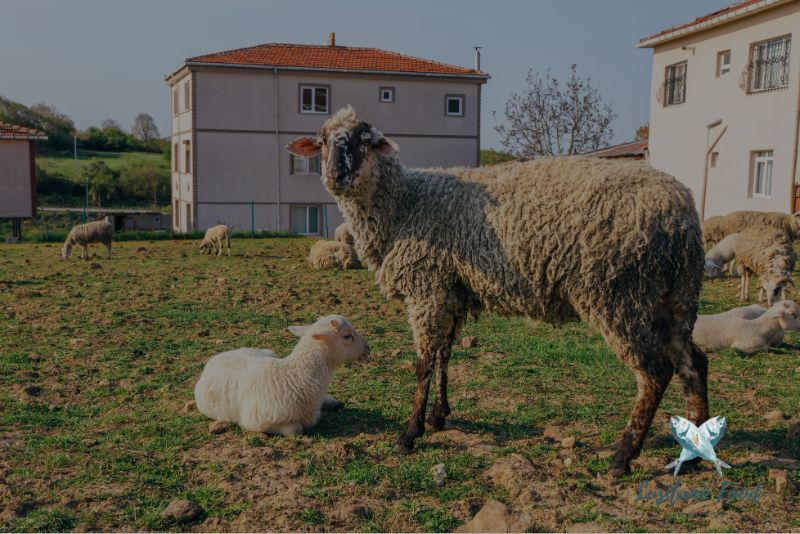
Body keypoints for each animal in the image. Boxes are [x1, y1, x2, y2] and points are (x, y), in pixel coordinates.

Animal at [287, 105, 708, 477]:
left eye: (365, 141)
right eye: (322, 141)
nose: (335, 175)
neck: (405, 203)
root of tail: (683, 210)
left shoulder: (427, 287)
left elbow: (424, 362)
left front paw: (410, 433)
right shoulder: (451, 290)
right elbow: (444, 355)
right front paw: (439, 416)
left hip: (618, 293)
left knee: (655, 371)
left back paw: (623, 455)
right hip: (672, 295)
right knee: (693, 363)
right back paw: (695, 453)